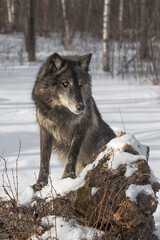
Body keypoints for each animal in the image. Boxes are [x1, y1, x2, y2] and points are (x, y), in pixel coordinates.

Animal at [31, 53, 115, 191]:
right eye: (65, 83)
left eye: (81, 84)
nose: (82, 107)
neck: (61, 112)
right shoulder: (45, 130)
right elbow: (44, 160)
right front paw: (40, 183)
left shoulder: (81, 127)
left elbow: (73, 153)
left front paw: (67, 176)